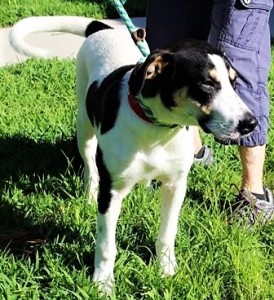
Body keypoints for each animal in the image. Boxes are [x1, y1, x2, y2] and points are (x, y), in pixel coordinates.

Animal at [9, 15, 256, 292]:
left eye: (234, 83)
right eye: (207, 83)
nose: (251, 124)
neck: (157, 129)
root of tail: (103, 28)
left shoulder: (176, 185)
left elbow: (167, 234)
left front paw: (166, 270)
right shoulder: (112, 192)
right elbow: (107, 244)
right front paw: (103, 283)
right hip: (84, 127)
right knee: (90, 168)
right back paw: (89, 194)